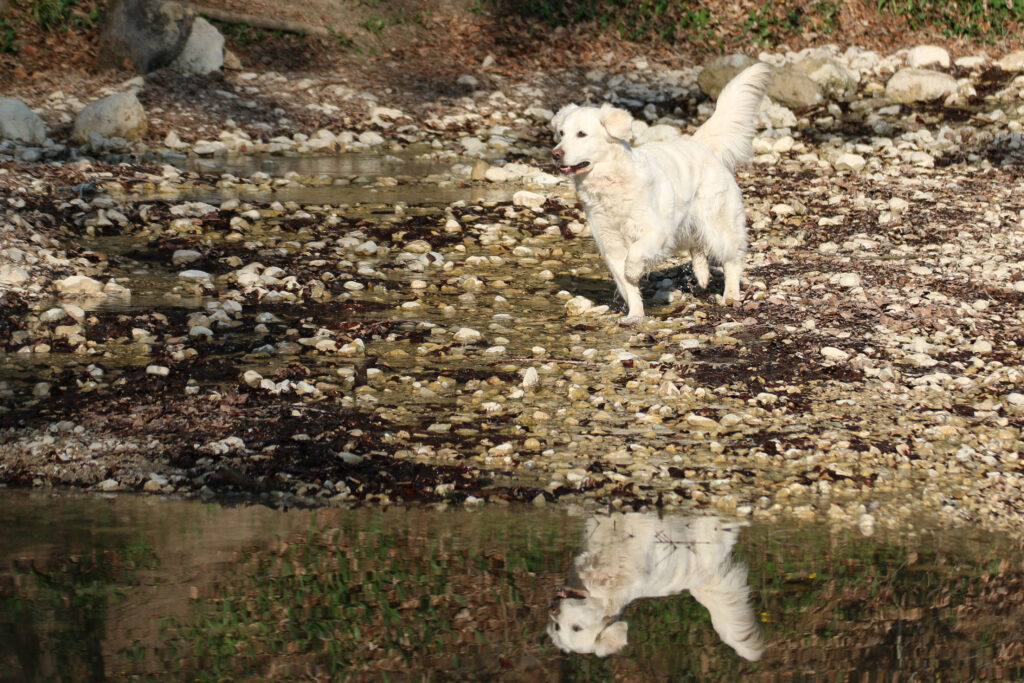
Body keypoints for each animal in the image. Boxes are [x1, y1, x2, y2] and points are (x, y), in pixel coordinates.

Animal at [552, 63, 770, 321]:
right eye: (561, 134)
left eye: (582, 134)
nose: (555, 154)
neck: (609, 183)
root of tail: (699, 143)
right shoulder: (610, 244)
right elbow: (627, 285)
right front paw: (635, 315)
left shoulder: (657, 230)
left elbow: (635, 255)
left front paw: (634, 271)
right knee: (696, 245)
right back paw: (702, 275)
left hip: (718, 223)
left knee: (731, 259)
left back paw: (731, 295)